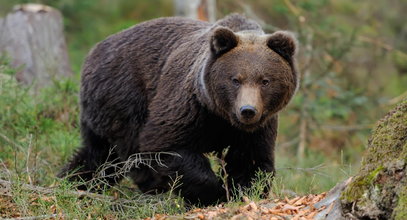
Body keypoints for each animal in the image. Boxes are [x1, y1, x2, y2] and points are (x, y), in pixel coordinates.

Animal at [59, 13, 298, 205]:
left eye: (265, 80)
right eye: (235, 80)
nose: (247, 110)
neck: (220, 114)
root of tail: (94, 51)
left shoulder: (257, 127)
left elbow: (251, 160)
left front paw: (242, 192)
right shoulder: (188, 106)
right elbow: (167, 146)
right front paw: (214, 193)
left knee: (98, 155)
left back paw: (72, 182)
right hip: (124, 95)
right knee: (128, 149)